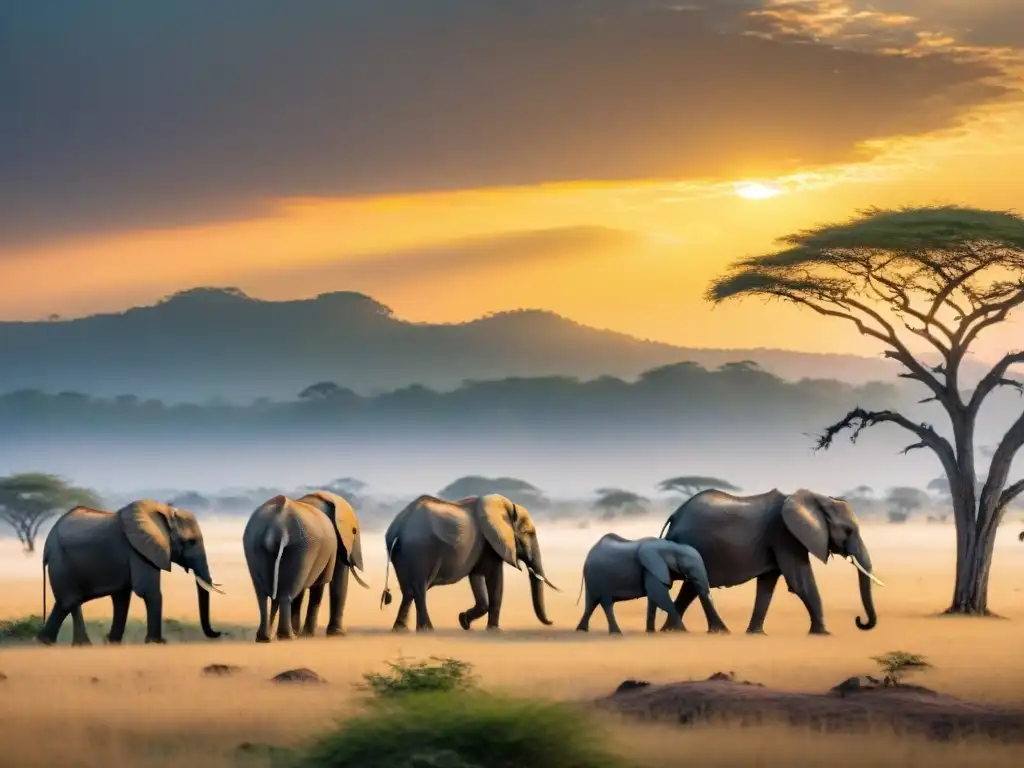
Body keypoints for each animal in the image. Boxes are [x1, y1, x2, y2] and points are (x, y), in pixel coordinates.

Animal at [36, 501, 224, 647]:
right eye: (190, 542)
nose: (219, 633)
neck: (165, 513)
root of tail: (46, 545)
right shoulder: (139, 550)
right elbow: (148, 591)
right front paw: (156, 643)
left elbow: (122, 597)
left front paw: (113, 643)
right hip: (61, 562)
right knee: (72, 601)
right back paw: (82, 645)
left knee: (63, 604)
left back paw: (45, 642)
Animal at [243, 493, 372, 643]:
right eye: (354, 531)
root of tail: (277, 528)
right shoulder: (333, 545)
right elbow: (324, 584)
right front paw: (330, 634)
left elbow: (301, 591)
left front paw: (302, 633)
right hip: (300, 548)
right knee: (286, 594)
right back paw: (288, 637)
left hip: (256, 545)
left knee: (263, 596)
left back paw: (265, 638)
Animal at [378, 495, 557, 634]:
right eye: (529, 533)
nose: (552, 622)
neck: (506, 507)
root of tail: (400, 526)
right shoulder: (491, 543)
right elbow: (495, 578)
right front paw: (495, 631)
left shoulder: (481, 547)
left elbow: (477, 578)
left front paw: (463, 621)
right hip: (420, 548)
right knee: (419, 588)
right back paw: (427, 630)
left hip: (401, 553)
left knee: (407, 590)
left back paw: (400, 629)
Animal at [577, 536, 729, 638]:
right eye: (685, 566)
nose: (725, 632)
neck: (670, 546)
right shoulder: (650, 567)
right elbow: (658, 594)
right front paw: (683, 631)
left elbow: (653, 598)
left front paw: (651, 632)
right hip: (600, 578)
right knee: (606, 603)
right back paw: (616, 633)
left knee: (591, 604)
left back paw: (581, 630)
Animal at [659, 487, 884, 638]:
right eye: (848, 530)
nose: (859, 620)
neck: (817, 499)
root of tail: (675, 515)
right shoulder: (785, 535)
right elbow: (800, 582)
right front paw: (824, 634)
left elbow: (767, 584)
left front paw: (756, 634)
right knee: (694, 586)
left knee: (690, 588)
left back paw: (670, 631)